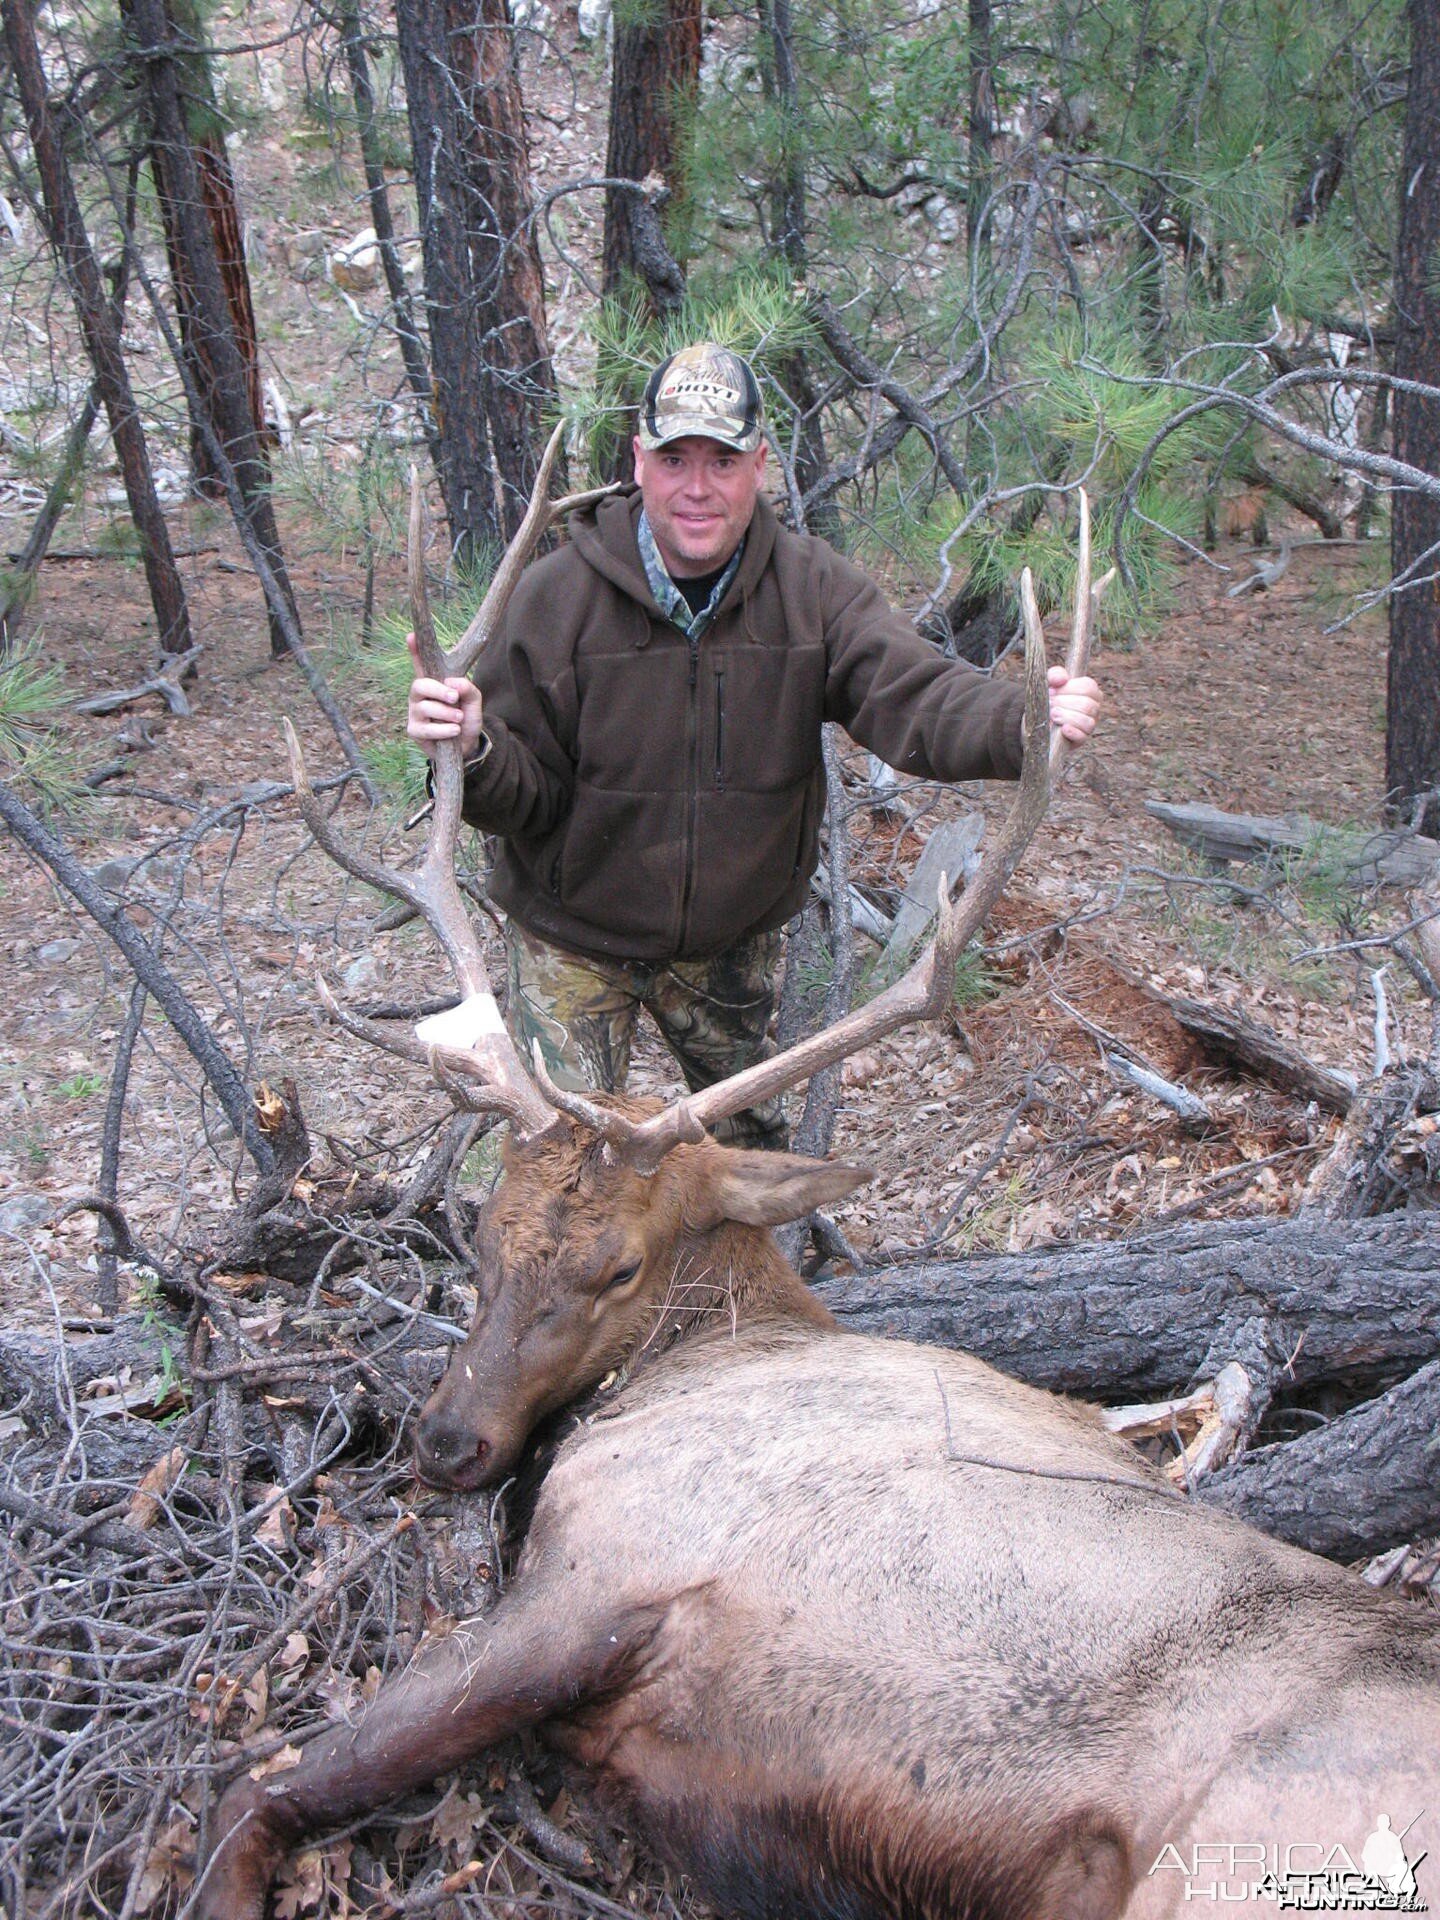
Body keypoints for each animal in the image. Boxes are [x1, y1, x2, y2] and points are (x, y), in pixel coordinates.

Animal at [197, 449, 1436, 1920]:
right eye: (486, 1233)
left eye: (620, 1265)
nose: (449, 1443)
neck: (715, 1351)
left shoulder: (607, 1569)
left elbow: (261, 1789)